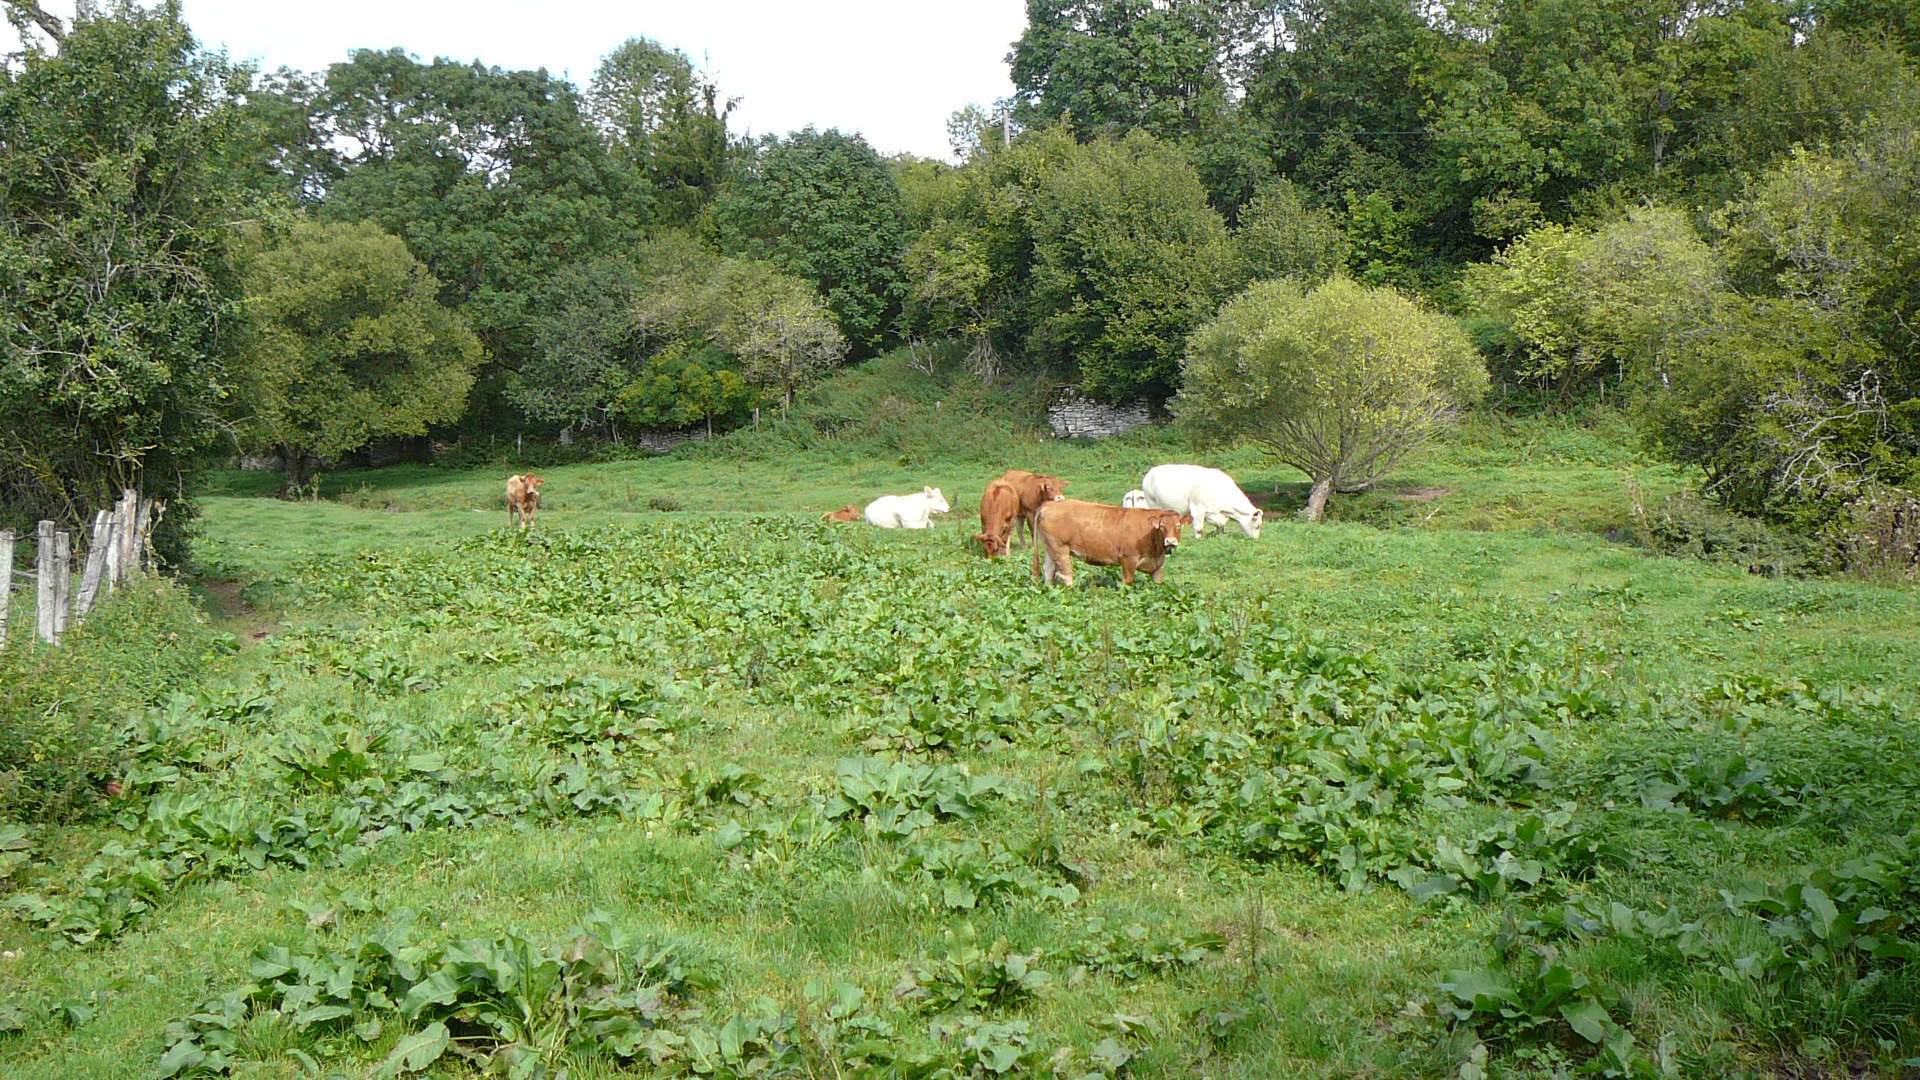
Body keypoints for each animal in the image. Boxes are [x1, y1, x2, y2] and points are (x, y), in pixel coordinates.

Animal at [1036, 499, 1182, 584]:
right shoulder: (1128, 559)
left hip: (1051, 548)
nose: (1170, 541)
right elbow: (1127, 581)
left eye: (1179, 525)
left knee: (1048, 570)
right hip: (1060, 549)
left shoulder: (1157, 567)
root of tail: (1049, 504)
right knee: (1065, 574)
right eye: (1162, 526)